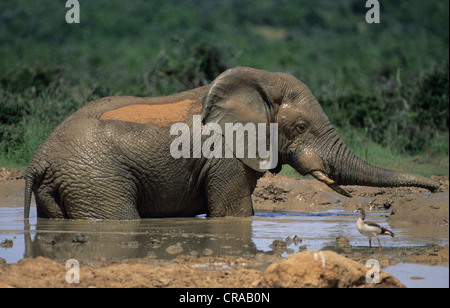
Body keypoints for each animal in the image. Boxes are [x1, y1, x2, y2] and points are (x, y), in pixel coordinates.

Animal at [24, 66, 440, 220]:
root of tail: (38, 160)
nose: (437, 185)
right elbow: (234, 214)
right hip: (97, 177)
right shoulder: (225, 156)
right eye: (300, 126)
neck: (259, 80)